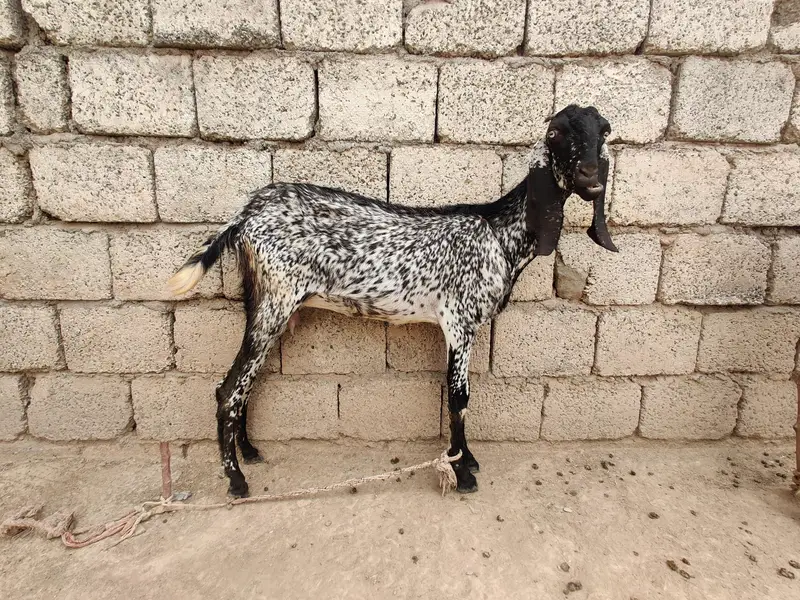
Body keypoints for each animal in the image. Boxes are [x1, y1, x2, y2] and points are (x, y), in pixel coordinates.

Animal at [168, 104, 618, 498]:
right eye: (555, 134)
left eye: (605, 131)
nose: (591, 177)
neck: (498, 233)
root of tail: (246, 214)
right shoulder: (459, 320)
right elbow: (458, 396)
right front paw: (461, 472)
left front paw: (466, 459)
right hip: (276, 302)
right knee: (229, 388)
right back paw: (236, 481)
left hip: (260, 301)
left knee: (245, 382)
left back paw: (248, 452)